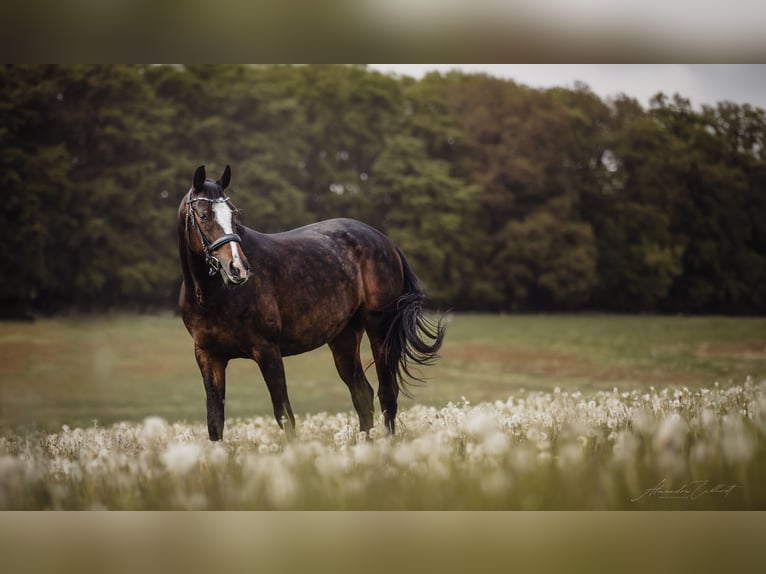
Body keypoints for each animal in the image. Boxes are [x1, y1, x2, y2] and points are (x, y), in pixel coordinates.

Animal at [178, 164, 448, 444]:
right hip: (344, 337)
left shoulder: (267, 351)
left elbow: (284, 415)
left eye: (234, 215)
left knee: (387, 395)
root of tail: (386, 242)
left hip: (379, 331)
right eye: (203, 215)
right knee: (363, 395)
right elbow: (215, 421)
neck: (213, 295)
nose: (238, 268)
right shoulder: (209, 356)